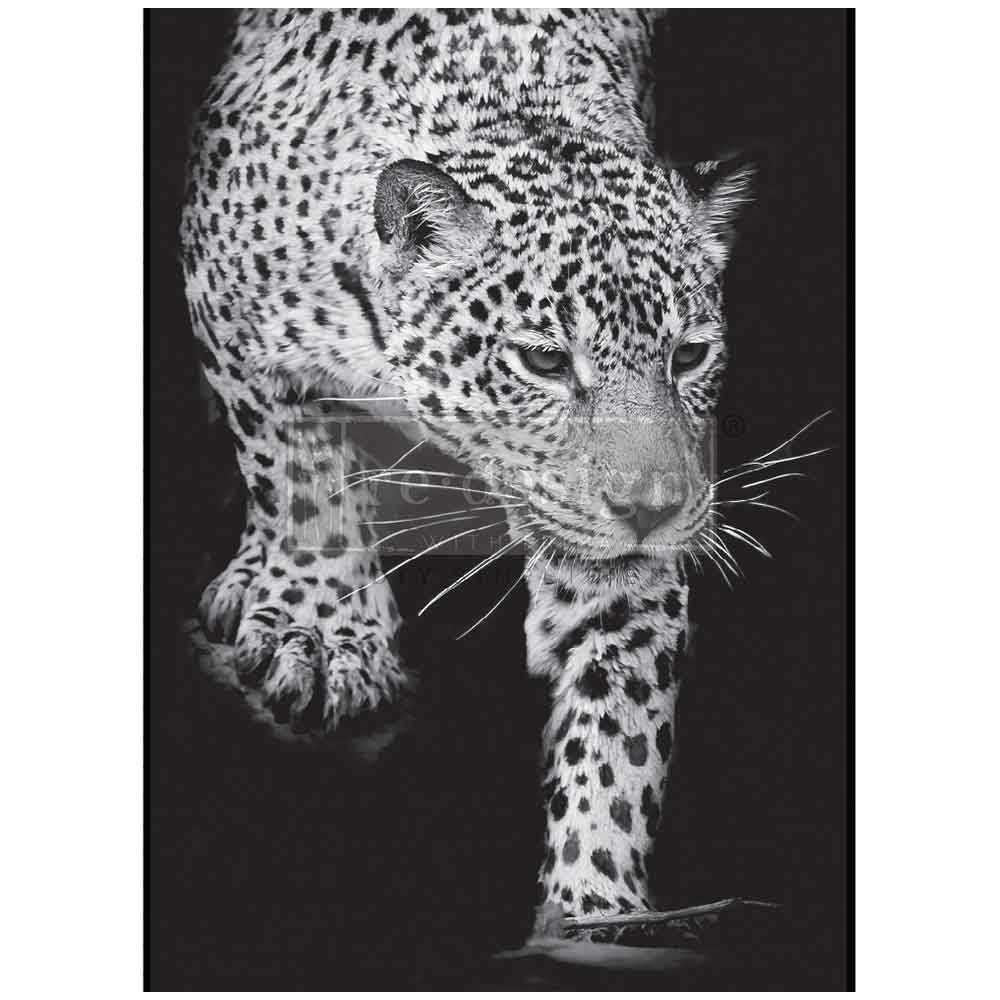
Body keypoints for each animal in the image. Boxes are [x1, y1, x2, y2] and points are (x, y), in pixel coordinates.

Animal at [180, 8, 754, 922]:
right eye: (545, 362)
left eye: (690, 356)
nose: (654, 508)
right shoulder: (227, 311)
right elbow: (295, 474)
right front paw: (323, 629)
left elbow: (620, 723)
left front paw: (593, 906)